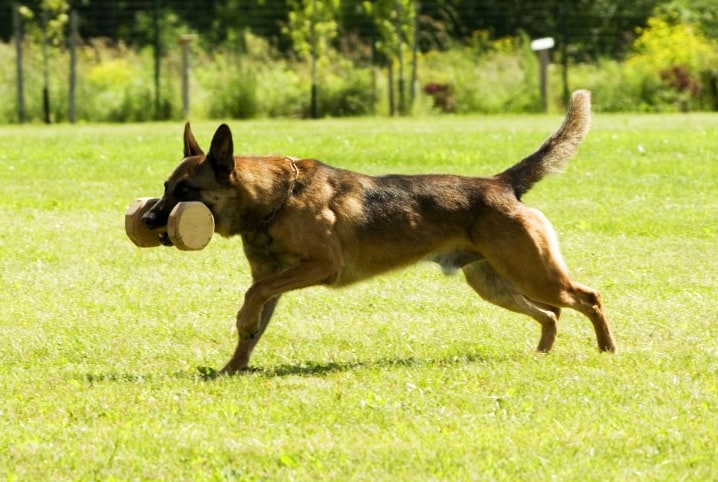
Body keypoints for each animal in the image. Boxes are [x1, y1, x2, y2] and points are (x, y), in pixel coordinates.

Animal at [142, 91, 620, 376]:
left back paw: (607, 349)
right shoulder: (273, 280)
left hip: (534, 274)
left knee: (588, 297)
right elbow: (255, 321)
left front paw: (240, 333)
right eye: (165, 187)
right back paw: (543, 353)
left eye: (185, 191)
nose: (147, 222)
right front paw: (233, 367)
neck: (275, 199)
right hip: (495, 283)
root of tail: (501, 184)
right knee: (552, 315)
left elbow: (251, 299)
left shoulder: (321, 266)